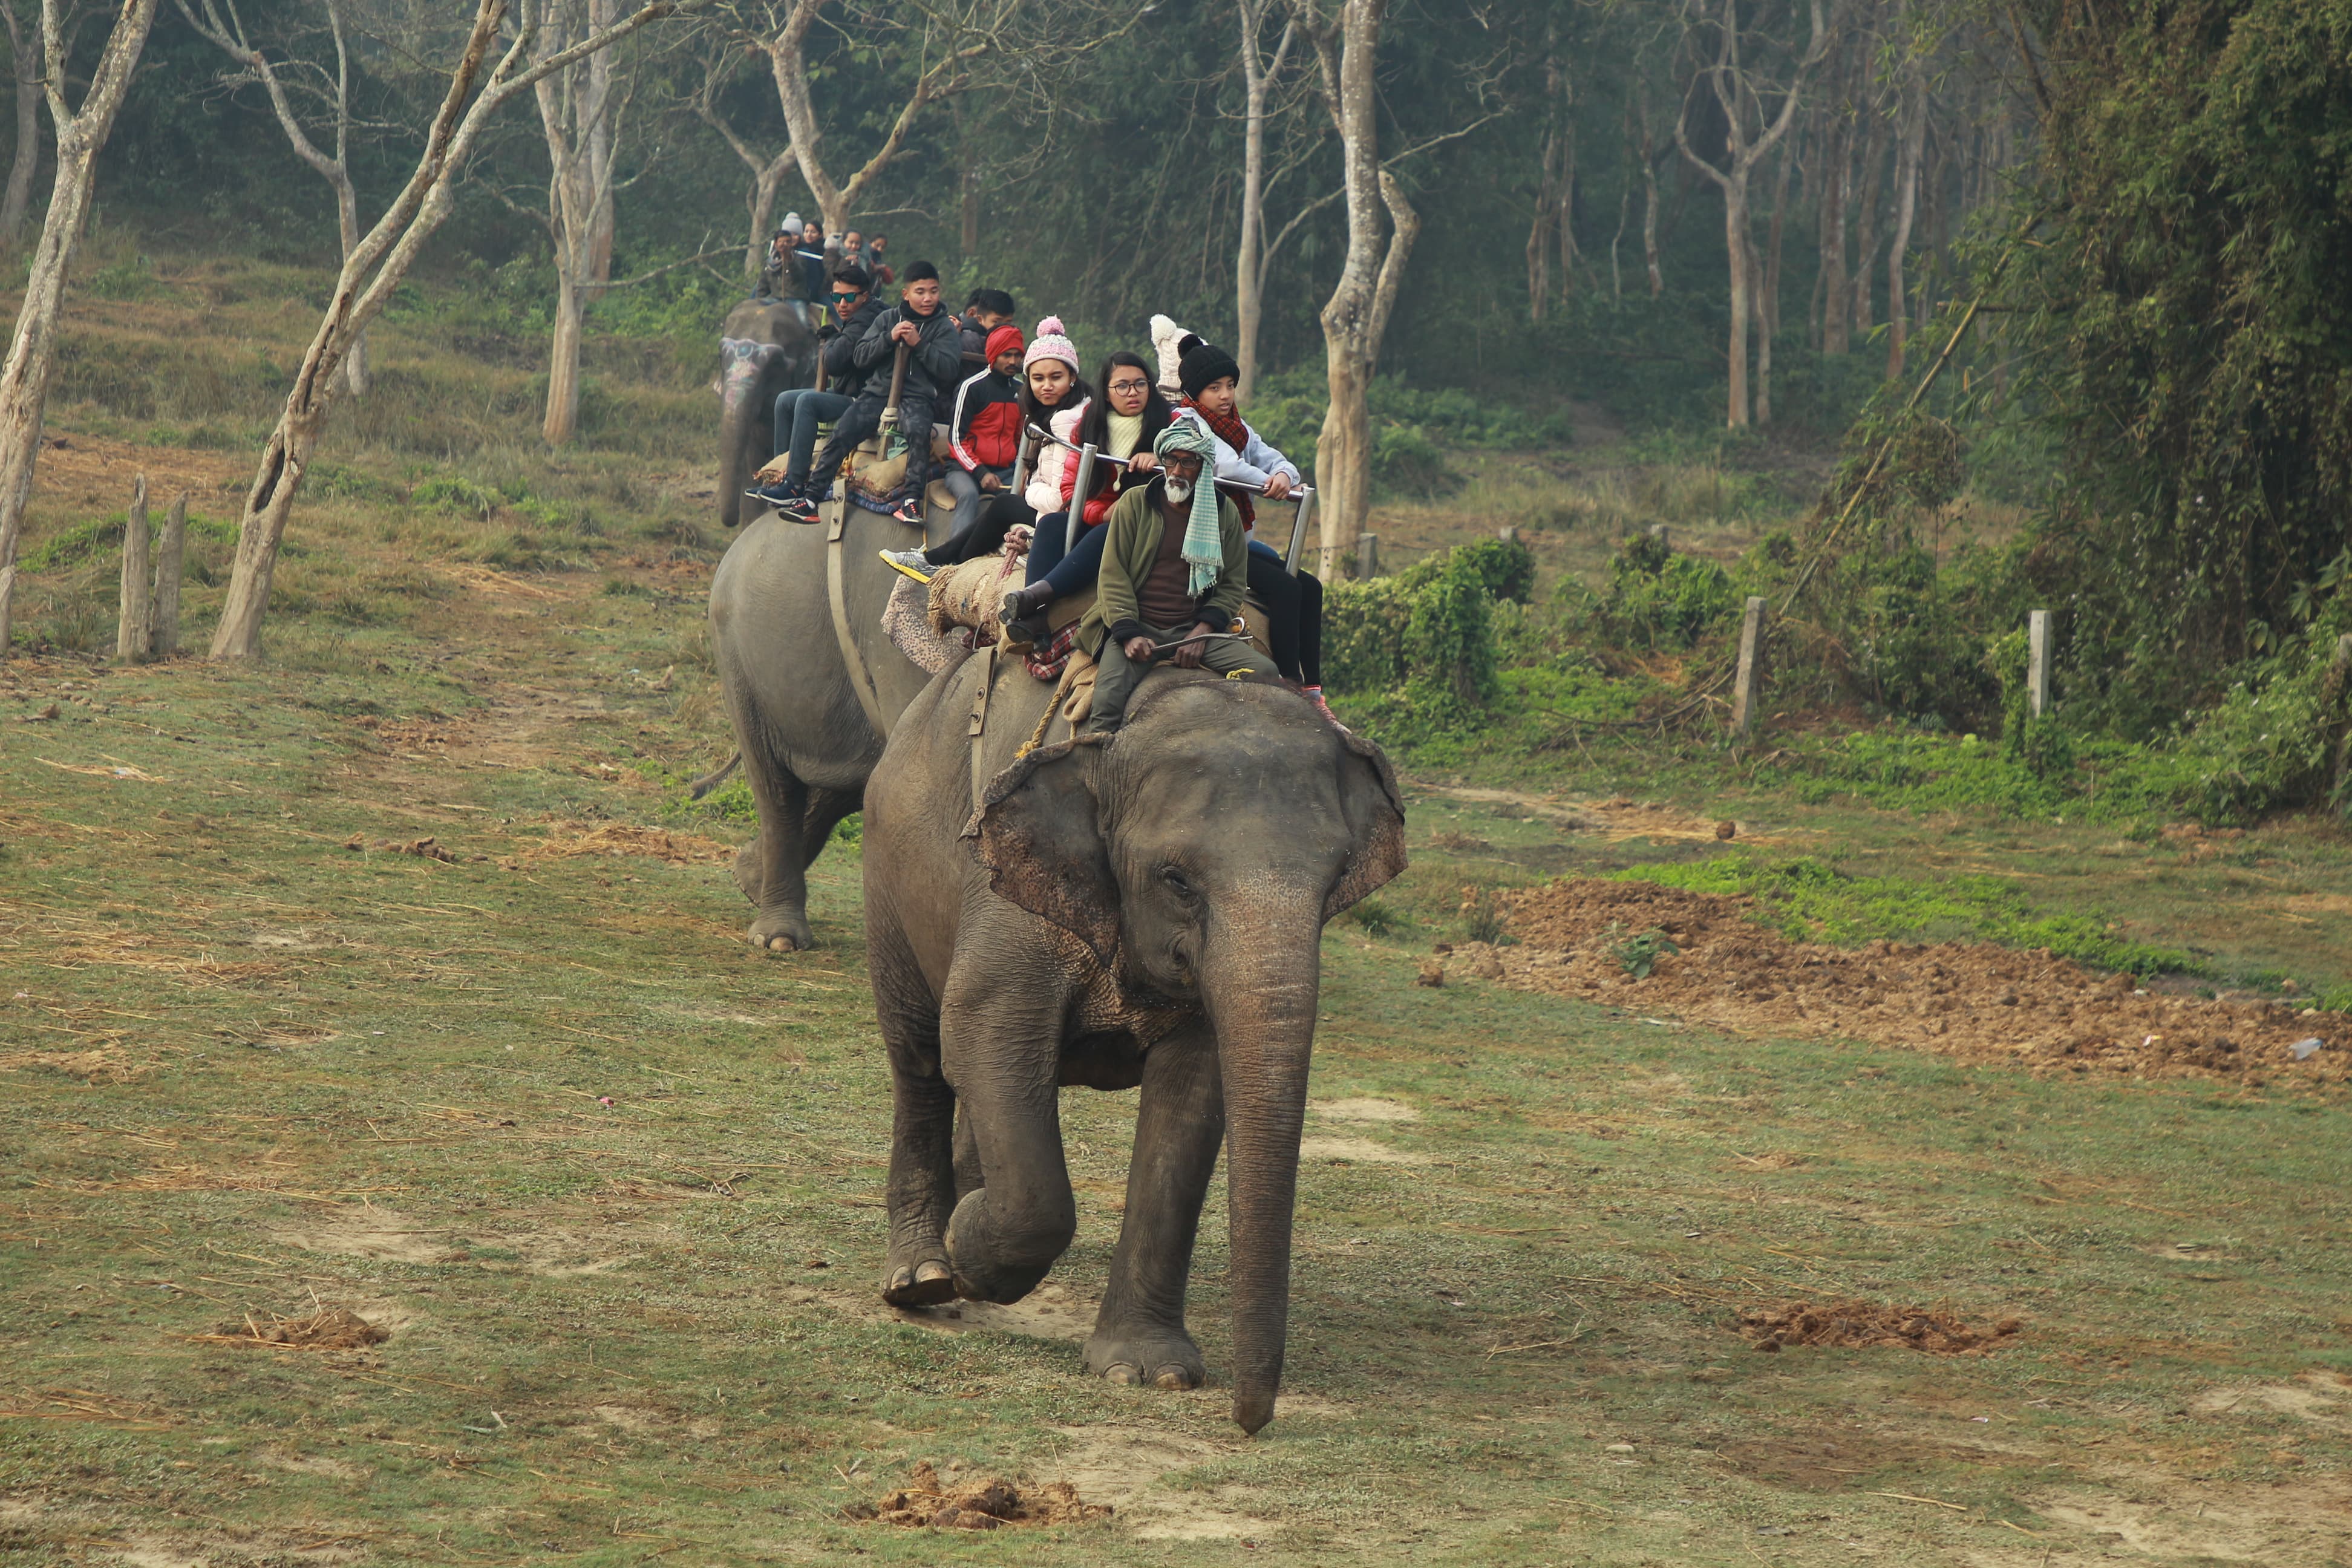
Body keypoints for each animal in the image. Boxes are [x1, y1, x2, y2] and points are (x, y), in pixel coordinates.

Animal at [865, 648, 1411, 1439]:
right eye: (1176, 879)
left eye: (1337, 878)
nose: (1251, 1421)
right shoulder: (1007, 895)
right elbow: (982, 1030)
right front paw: (971, 1249)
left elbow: (1193, 1098)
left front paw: (1150, 1373)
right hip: (888, 871)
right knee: (919, 1060)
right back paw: (923, 1277)